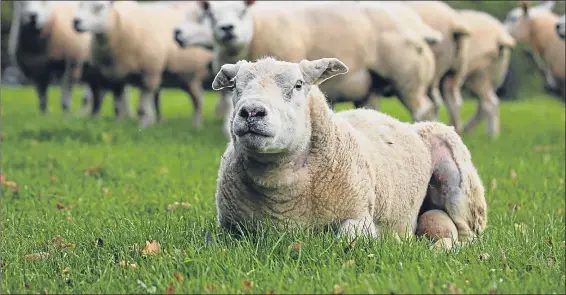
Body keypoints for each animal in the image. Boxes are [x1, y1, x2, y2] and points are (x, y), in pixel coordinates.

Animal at [74, 0, 216, 128]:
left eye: (100, 6)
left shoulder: (149, 75)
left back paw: (196, 126)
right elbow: (118, 108)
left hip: (189, 75)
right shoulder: (116, 78)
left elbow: (142, 110)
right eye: (80, 4)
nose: (76, 22)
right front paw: (118, 125)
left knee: (198, 102)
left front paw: (141, 128)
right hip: (185, 76)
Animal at [213, 56, 488, 244]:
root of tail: (409, 125)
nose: (251, 112)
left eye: (298, 85)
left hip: (461, 188)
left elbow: (346, 238)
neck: (283, 201)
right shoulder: (229, 229)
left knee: (467, 236)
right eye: (235, 86)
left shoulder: (359, 217)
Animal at [458, 10, 520, 138]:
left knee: (489, 104)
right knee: (485, 105)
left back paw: (491, 136)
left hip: (479, 75)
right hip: (488, 77)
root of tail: (500, 36)